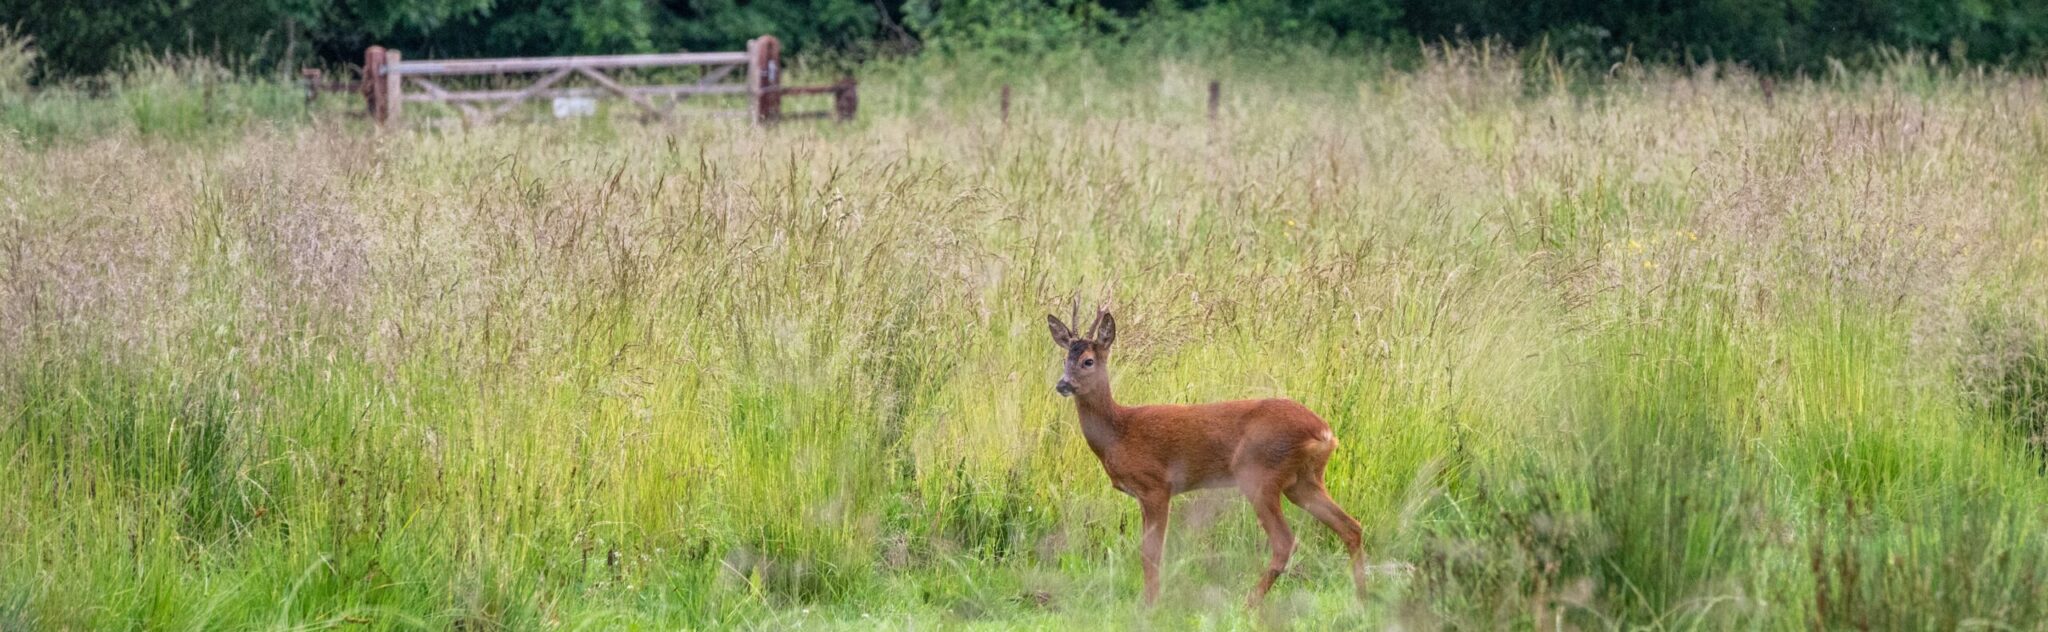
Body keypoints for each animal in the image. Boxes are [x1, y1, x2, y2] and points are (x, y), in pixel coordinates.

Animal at [1047, 309, 1368, 607]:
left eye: (1088, 361)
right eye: (1064, 359)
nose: (1062, 385)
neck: (1120, 432)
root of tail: (1324, 431)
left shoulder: (1156, 486)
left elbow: (1151, 552)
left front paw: (1150, 605)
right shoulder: (1144, 494)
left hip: (1259, 473)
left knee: (1285, 542)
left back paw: (1249, 602)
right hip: (1303, 481)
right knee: (1351, 527)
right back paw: (1362, 598)